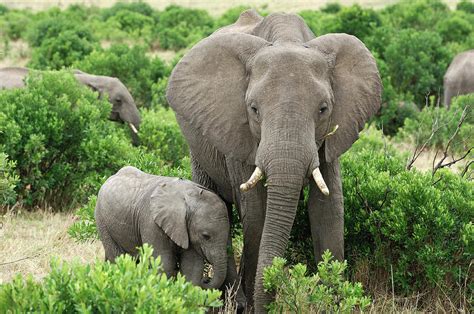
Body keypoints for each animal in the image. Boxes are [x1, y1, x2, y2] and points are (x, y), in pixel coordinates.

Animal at [95, 167, 230, 290]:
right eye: (206, 236)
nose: (206, 279)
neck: (190, 196)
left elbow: (192, 266)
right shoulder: (151, 222)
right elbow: (164, 262)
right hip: (102, 219)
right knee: (118, 258)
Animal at [167, 9, 382, 312]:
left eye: (323, 109)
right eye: (254, 109)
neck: (287, 39)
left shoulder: (334, 134)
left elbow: (328, 208)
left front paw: (334, 301)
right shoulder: (239, 133)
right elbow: (256, 213)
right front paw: (251, 306)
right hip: (197, 143)